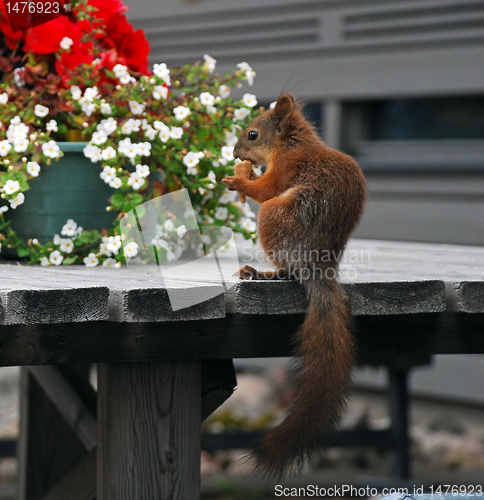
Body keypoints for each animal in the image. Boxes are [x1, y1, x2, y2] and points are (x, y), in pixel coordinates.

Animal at [221, 93, 364, 476]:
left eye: (253, 134)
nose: (237, 153)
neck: (293, 143)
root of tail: (316, 266)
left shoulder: (287, 167)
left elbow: (267, 187)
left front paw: (240, 182)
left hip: (275, 218)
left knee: (286, 266)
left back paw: (261, 273)